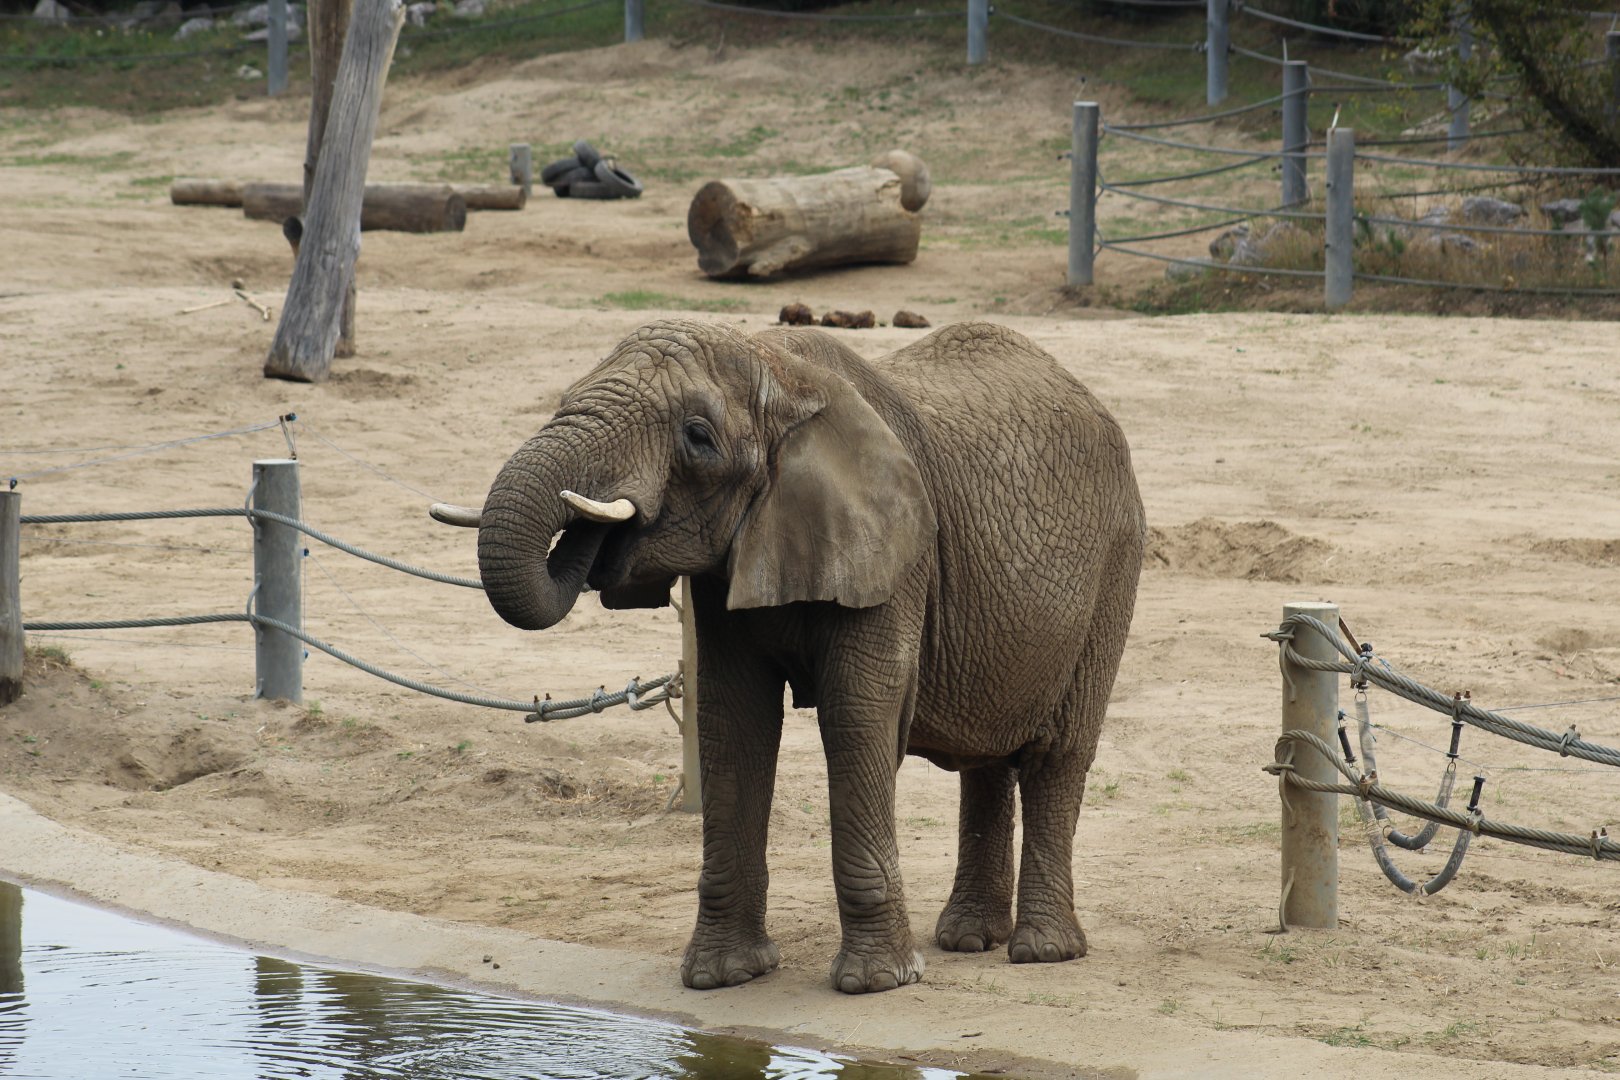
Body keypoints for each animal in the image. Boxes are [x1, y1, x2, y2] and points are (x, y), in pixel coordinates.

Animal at [468, 319, 1145, 994]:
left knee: (1058, 753)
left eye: (698, 436)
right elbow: (734, 719)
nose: (596, 534)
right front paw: (722, 976)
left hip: (1115, 565)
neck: (780, 371)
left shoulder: (895, 555)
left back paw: (1042, 951)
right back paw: (969, 939)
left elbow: (855, 714)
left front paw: (875, 983)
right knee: (987, 755)